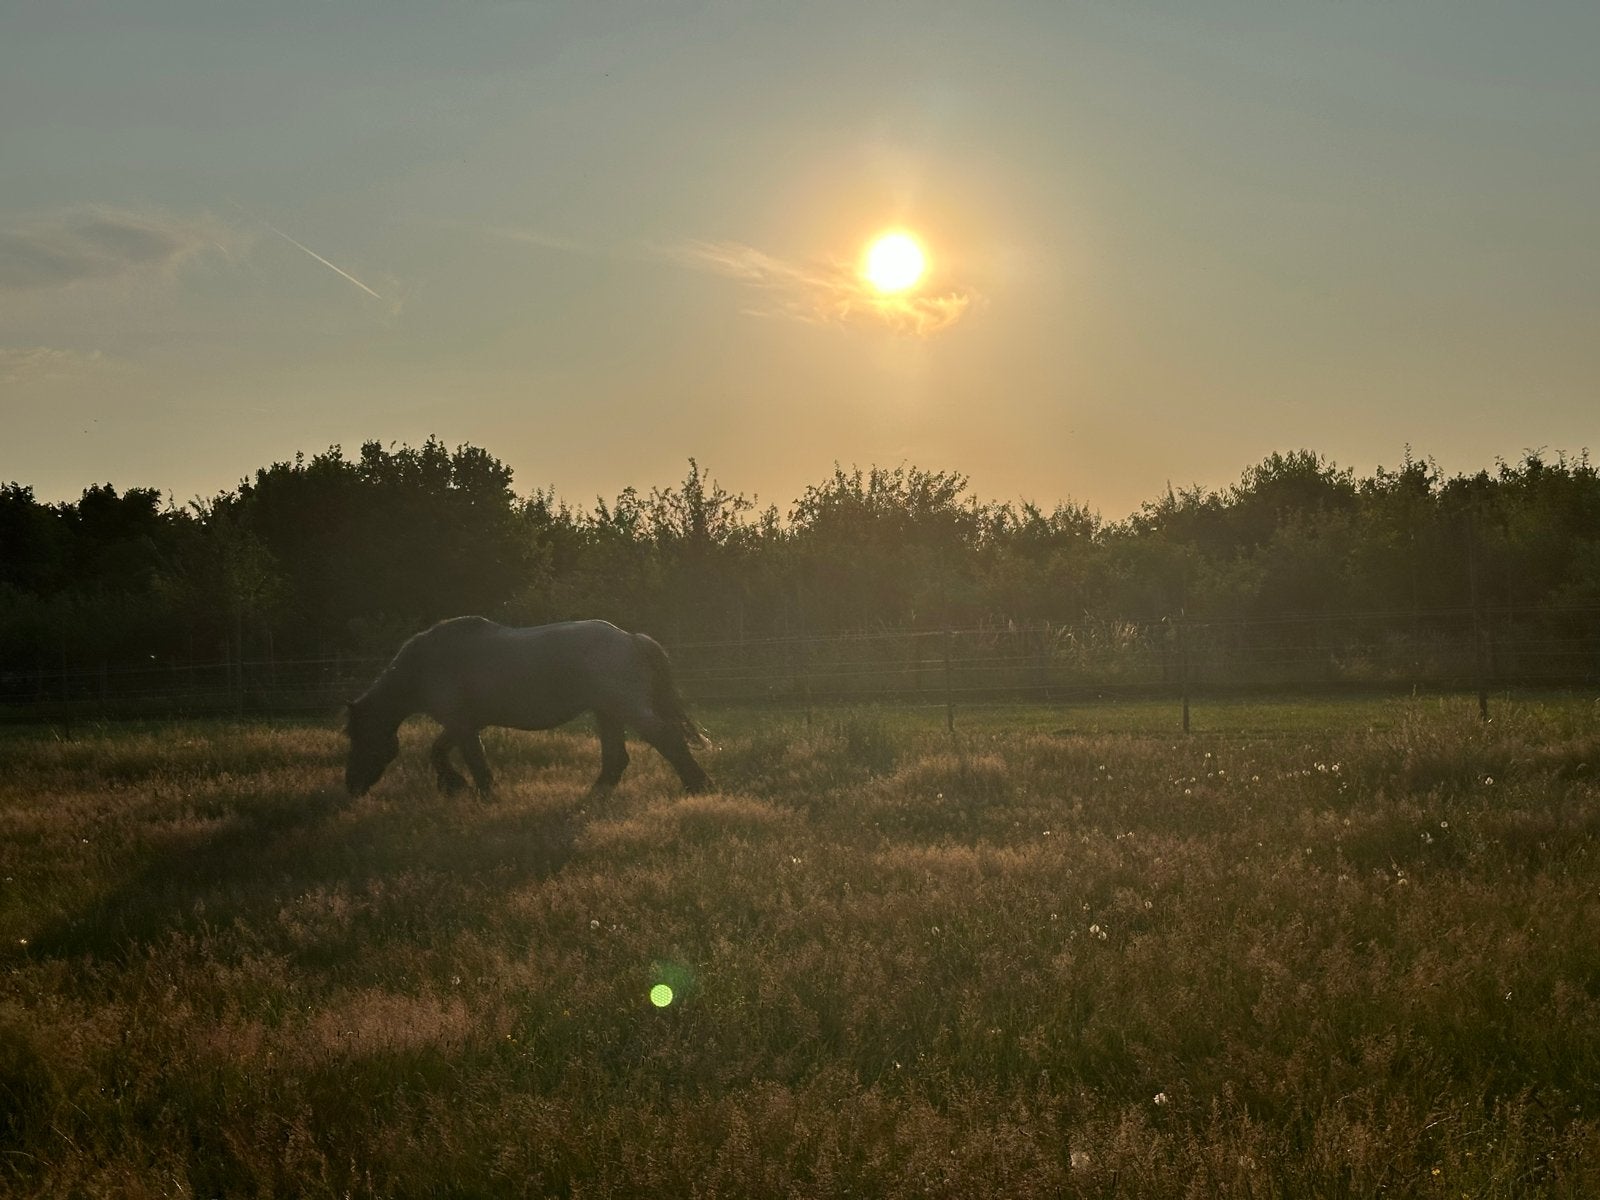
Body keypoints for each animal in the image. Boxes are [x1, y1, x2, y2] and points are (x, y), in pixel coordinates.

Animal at [343, 617, 710, 797]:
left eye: (359, 739)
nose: (351, 787)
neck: (423, 665)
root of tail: (630, 638)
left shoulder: (461, 724)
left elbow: (470, 759)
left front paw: (480, 791)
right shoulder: (465, 723)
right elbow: (440, 752)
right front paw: (456, 785)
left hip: (628, 709)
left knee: (669, 739)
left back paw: (698, 786)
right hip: (607, 712)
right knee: (616, 758)